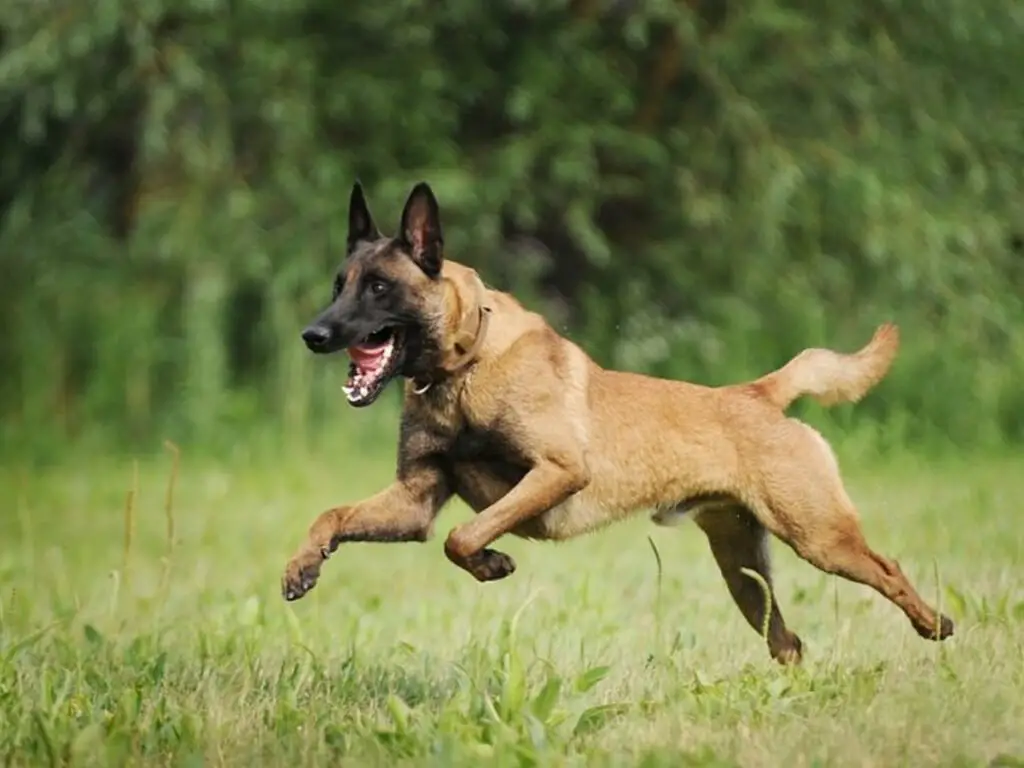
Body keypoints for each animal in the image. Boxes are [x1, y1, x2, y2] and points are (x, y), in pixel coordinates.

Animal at [280, 182, 950, 667]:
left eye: (378, 287)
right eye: (338, 285)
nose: (312, 335)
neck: (463, 369)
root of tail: (757, 393)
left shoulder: (556, 472)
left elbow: (463, 537)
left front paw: (492, 564)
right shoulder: (415, 499)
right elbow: (334, 516)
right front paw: (302, 566)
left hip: (819, 537)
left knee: (887, 570)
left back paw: (935, 623)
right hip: (743, 569)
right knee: (787, 643)